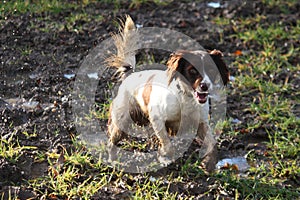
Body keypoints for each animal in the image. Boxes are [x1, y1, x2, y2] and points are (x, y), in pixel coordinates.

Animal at [105, 15, 227, 172]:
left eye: (212, 70)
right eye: (192, 70)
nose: (204, 86)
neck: (185, 97)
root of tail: (130, 74)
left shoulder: (201, 122)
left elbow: (211, 144)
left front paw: (209, 163)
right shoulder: (157, 118)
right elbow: (167, 144)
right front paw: (164, 156)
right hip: (122, 120)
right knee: (112, 142)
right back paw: (113, 161)